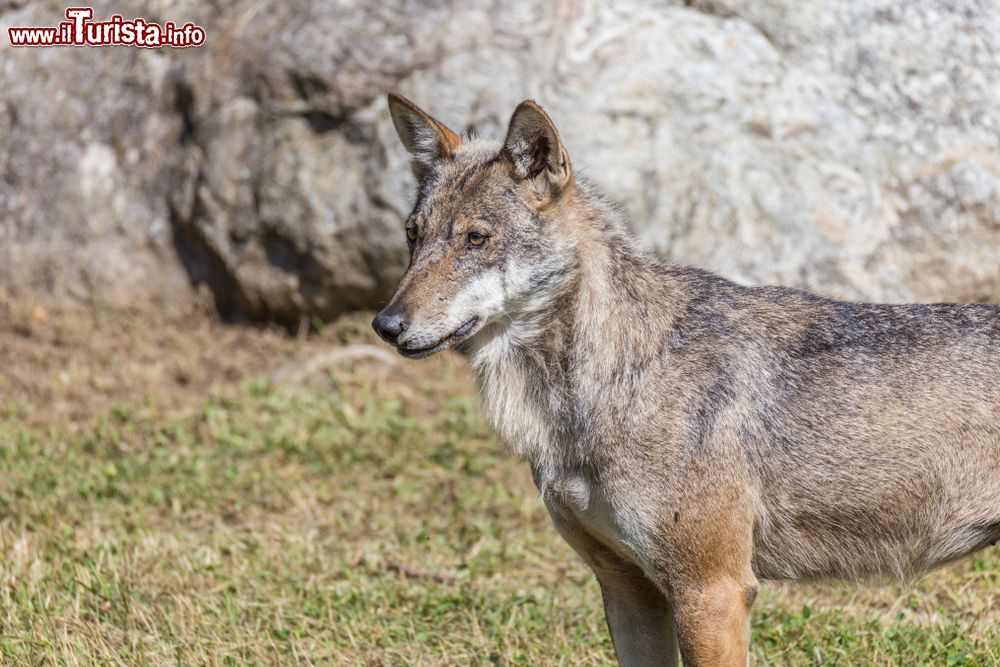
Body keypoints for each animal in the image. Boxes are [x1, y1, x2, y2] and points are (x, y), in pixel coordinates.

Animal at [370, 94, 1000, 667]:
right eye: (413, 235)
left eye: (475, 239)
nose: (385, 325)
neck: (611, 383)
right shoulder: (627, 589)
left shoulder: (712, 591)